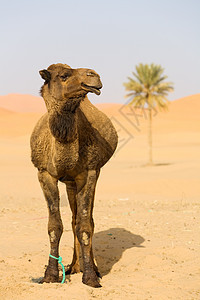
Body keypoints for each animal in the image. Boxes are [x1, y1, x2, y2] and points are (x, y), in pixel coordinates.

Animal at [30, 63, 118, 288]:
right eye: (64, 75)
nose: (93, 75)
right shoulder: (44, 174)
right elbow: (55, 226)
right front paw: (50, 275)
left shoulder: (89, 173)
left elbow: (85, 226)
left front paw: (91, 277)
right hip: (69, 183)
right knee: (73, 219)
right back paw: (73, 266)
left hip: (91, 176)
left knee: (86, 220)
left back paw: (89, 268)